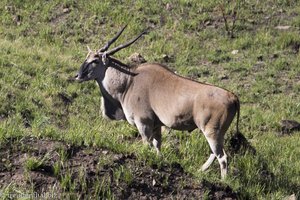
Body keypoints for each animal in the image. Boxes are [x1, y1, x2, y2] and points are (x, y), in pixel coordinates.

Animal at [75, 25, 239, 178]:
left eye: (95, 60)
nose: (78, 75)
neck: (129, 82)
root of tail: (233, 97)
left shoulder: (143, 123)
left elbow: (147, 145)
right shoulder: (156, 126)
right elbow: (157, 145)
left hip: (211, 132)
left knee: (222, 157)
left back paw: (223, 180)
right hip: (217, 133)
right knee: (215, 153)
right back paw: (201, 170)